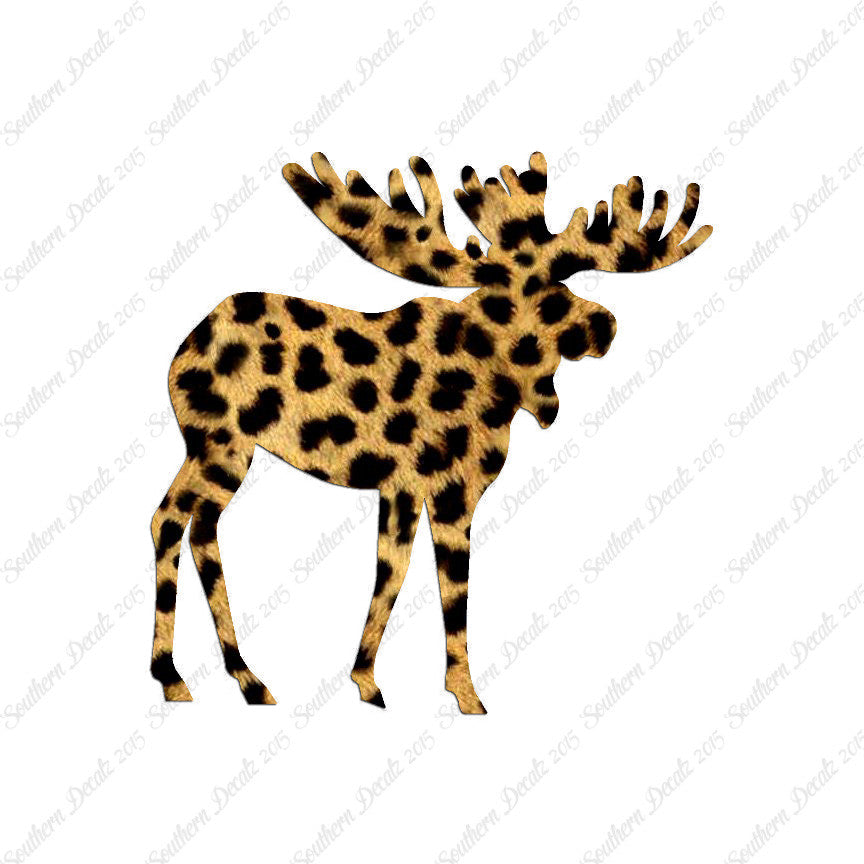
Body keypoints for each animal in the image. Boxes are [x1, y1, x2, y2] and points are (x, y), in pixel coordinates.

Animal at [149, 151, 712, 713]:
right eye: (548, 296)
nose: (606, 325)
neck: (502, 385)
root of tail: (181, 352)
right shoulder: (451, 490)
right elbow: (453, 591)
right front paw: (466, 694)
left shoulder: (399, 489)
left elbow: (390, 574)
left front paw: (366, 680)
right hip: (218, 444)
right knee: (169, 520)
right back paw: (174, 676)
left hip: (228, 452)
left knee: (199, 527)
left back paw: (244, 678)